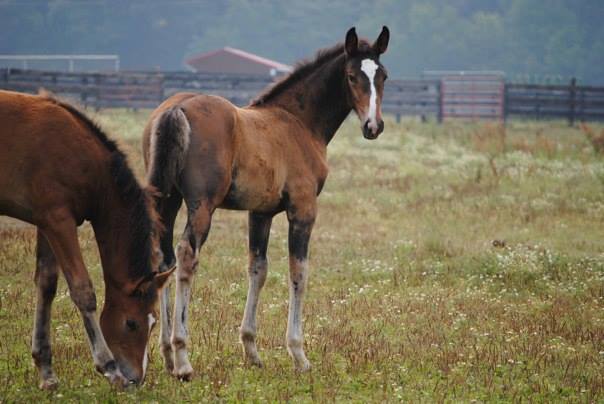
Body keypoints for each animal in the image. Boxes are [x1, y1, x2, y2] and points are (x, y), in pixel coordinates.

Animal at [0, 90, 172, 388]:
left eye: (153, 324)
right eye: (131, 323)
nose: (136, 379)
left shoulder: (46, 221)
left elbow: (46, 285)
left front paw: (46, 371)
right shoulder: (60, 220)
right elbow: (83, 290)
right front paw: (109, 367)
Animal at [143, 26, 390, 378]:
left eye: (383, 76)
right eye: (352, 76)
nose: (373, 126)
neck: (299, 122)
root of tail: (176, 108)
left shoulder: (260, 212)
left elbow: (257, 269)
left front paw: (251, 350)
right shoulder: (302, 209)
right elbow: (298, 272)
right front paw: (298, 354)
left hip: (166, 198)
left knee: (163, 258)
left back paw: (164, 353)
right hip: (201, 204)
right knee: (186, 256)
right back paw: (182, 357)